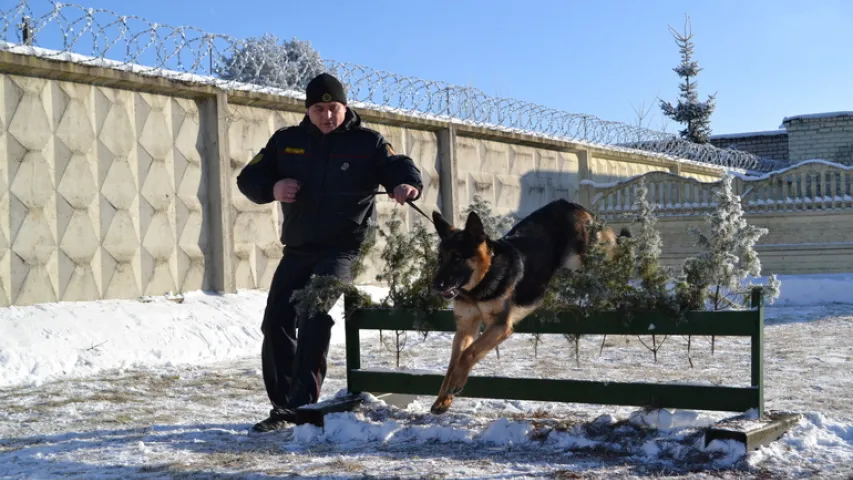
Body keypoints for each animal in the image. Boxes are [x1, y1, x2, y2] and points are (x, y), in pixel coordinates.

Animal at [432, 198, 624, 412]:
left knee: (613, 252)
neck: (481, 282)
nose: (435, 286)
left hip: (586, 258)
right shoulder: (465, 327)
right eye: (440, 259)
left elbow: (468, 353)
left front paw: (455, 384)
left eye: (457, 258)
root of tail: (574, 205)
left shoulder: (500, 326)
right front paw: (443, 398)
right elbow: (453, 363)